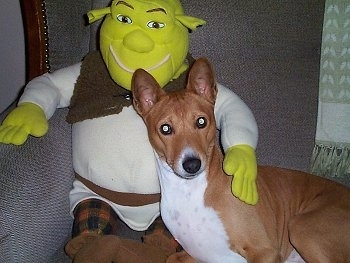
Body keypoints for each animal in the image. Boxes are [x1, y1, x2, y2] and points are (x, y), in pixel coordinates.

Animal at [131, 58, 350, 263]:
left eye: (201, 121)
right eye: (165, 128)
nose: (192, 164)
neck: (190, 193)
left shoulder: (265, 251)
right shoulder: (198, 255)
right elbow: (171, 257)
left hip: (300, 227)